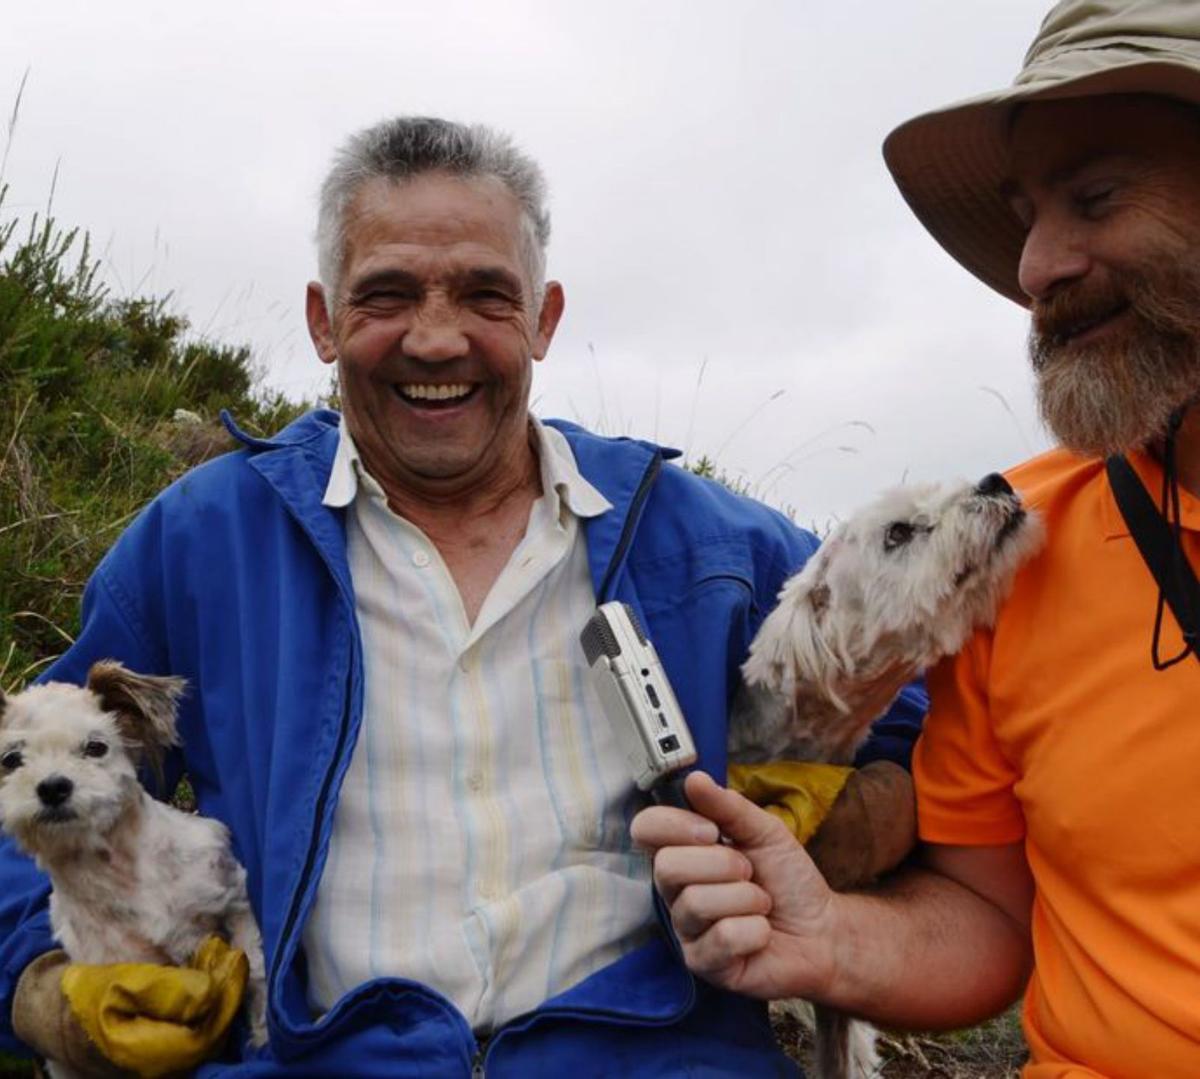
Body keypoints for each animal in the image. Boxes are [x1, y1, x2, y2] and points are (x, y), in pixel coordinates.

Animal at [0, 662, 267, 1065]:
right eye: (11, 760)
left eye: (96, 747)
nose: (52, 787)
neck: (119, 873)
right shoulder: (123, 962)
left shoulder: (232, 893)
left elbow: (255, 964)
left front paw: (264, 1034)